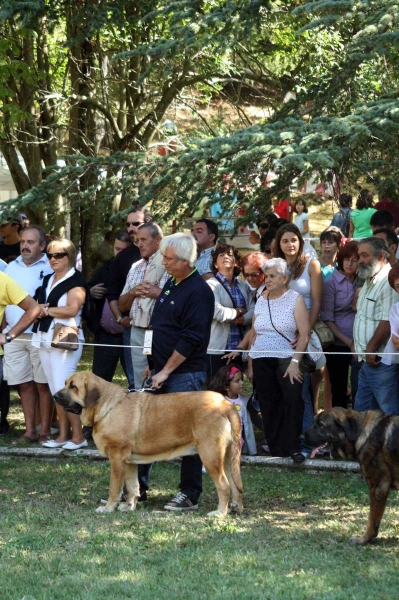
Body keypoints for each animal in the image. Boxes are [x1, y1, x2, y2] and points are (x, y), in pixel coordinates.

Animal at [53, 370, 244, 516]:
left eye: (73, 386)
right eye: (65, 383)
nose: (54, 396)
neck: (107, 406)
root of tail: (226, 404)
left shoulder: (116, 459)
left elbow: (114, 488)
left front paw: (108, 508)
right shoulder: (129, 462)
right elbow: (132, 486)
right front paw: (128, 507)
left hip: (210, 455)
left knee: (224, 485)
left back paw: (219, 513)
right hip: (227, 457)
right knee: (235, 484)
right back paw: (236, 507)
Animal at [302, 408, 399, 544]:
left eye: (321, 425)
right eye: (314, 422)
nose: (300, 437)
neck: (360, 432)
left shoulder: (377, 488)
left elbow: (372, 519)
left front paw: (364, 539)